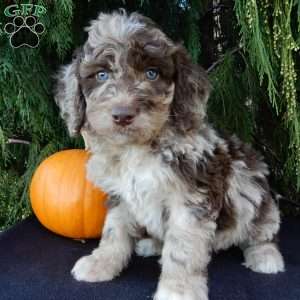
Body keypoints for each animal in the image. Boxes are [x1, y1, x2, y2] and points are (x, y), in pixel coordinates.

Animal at [54, 9, 284, 300]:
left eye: (152, 73)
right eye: (102, 75)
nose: (122, 115)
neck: (138, 147)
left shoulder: (191, 199)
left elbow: (182, 250)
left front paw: (179, 291)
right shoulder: (120, 195)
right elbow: (113, 232)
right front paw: (101, 263)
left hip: (250, 183)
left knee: (262, 229)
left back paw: (265, 256)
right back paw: (151, 243)